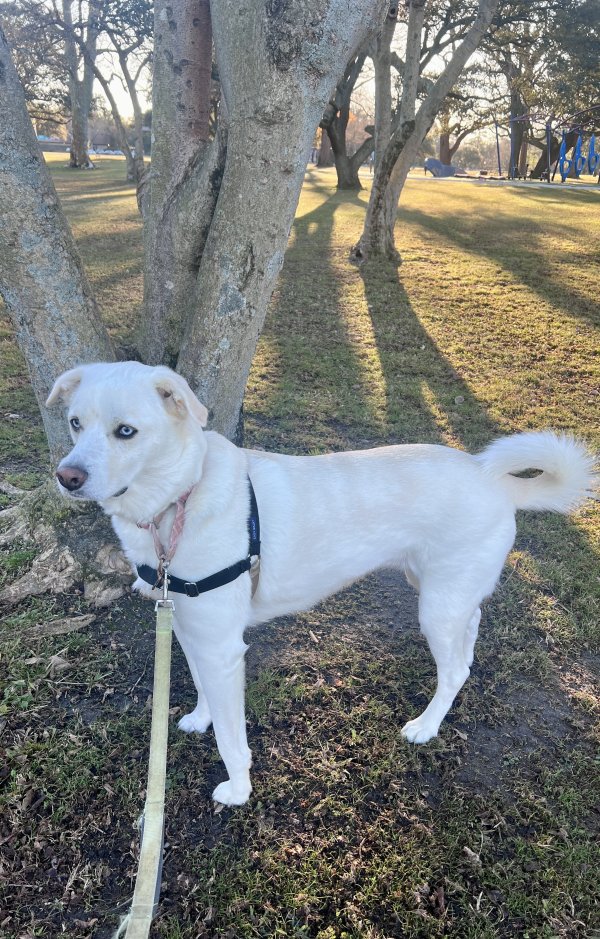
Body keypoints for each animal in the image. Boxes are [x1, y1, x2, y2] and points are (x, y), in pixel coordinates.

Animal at [45, 364, 596, 804]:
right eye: (75, 423)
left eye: (126, 431)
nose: (66, 477)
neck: (179, 498)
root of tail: (493, 479)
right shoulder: (187, 628)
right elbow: (202, 689)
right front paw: (201, 718)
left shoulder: (223, 648)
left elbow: (231, 738)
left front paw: (238, 789)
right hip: (439, 588)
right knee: (472, 626)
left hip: (436, 607)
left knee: (456, 668)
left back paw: (426, 726)